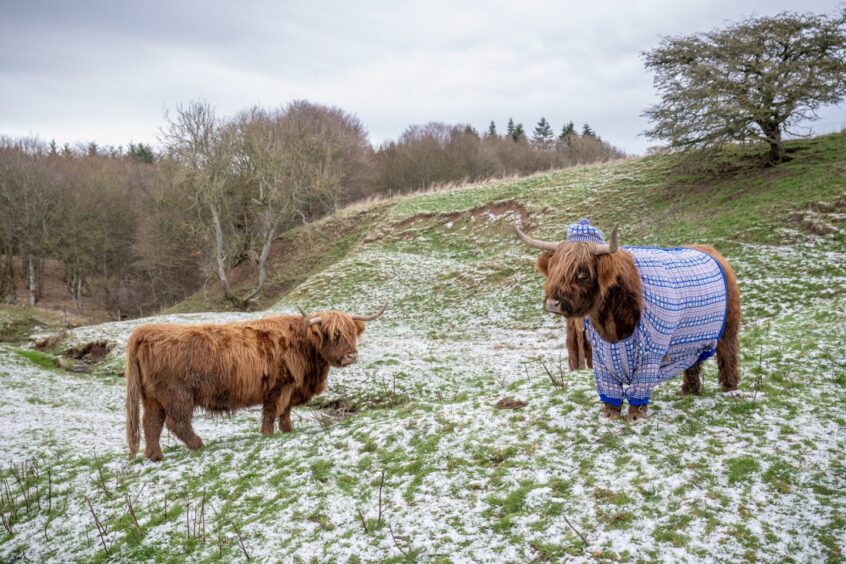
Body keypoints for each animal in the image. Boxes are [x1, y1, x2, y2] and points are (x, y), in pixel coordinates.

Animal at [123, 304, 388, 458]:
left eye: (352, 333)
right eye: (333, 334)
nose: (351, 355)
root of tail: (146, 331)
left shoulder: (290, 388)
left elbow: (285, 411)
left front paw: (288, 430)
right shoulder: (279, 386)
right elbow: (271, 412)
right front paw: (268, 434)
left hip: (153, 398)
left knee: (151, 423)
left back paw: (154, 455)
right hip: (177, 395)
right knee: (176, 422)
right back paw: (198, 444)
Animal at [512, 219, 740, 418]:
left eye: (583, 273)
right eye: (554, 268)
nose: (553, 303)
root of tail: (711, 251)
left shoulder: (650, 353)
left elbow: (640, 386)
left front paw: (636, 415)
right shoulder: (601, 354)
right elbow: (609, 388)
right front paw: (610, 414)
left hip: (728, 327)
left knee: (728, 353)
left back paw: (729, 387)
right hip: (691, 340)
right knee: (693, 362)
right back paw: (689, 390)